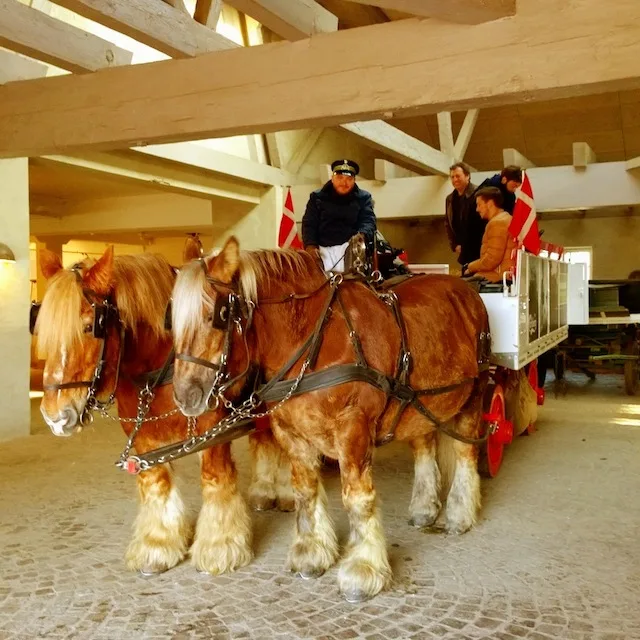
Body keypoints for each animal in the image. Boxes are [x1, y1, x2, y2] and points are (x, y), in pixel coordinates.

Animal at [34, 241, 292, 580]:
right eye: (43, 330)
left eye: (90, 327)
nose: (55, 416)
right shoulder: (142, 437)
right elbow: (156, 483)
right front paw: (158, 545)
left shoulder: (211, 432)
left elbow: (215, 479)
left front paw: (220, 546)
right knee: (264, 438)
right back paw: (264, 490)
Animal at [169, 238, 490, 604]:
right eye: (172, 320)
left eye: (218, 315)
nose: (185, 395)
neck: (314, 340)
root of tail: (466, 290)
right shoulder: (291, 433)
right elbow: (306, 491)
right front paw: (312, 553)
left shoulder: (353, 430)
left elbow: (357, 499)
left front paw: (363, 569)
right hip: (417, 403)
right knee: (424, 446)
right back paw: (424, 508)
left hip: (474, 395)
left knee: (465, 451)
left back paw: (460, 513)